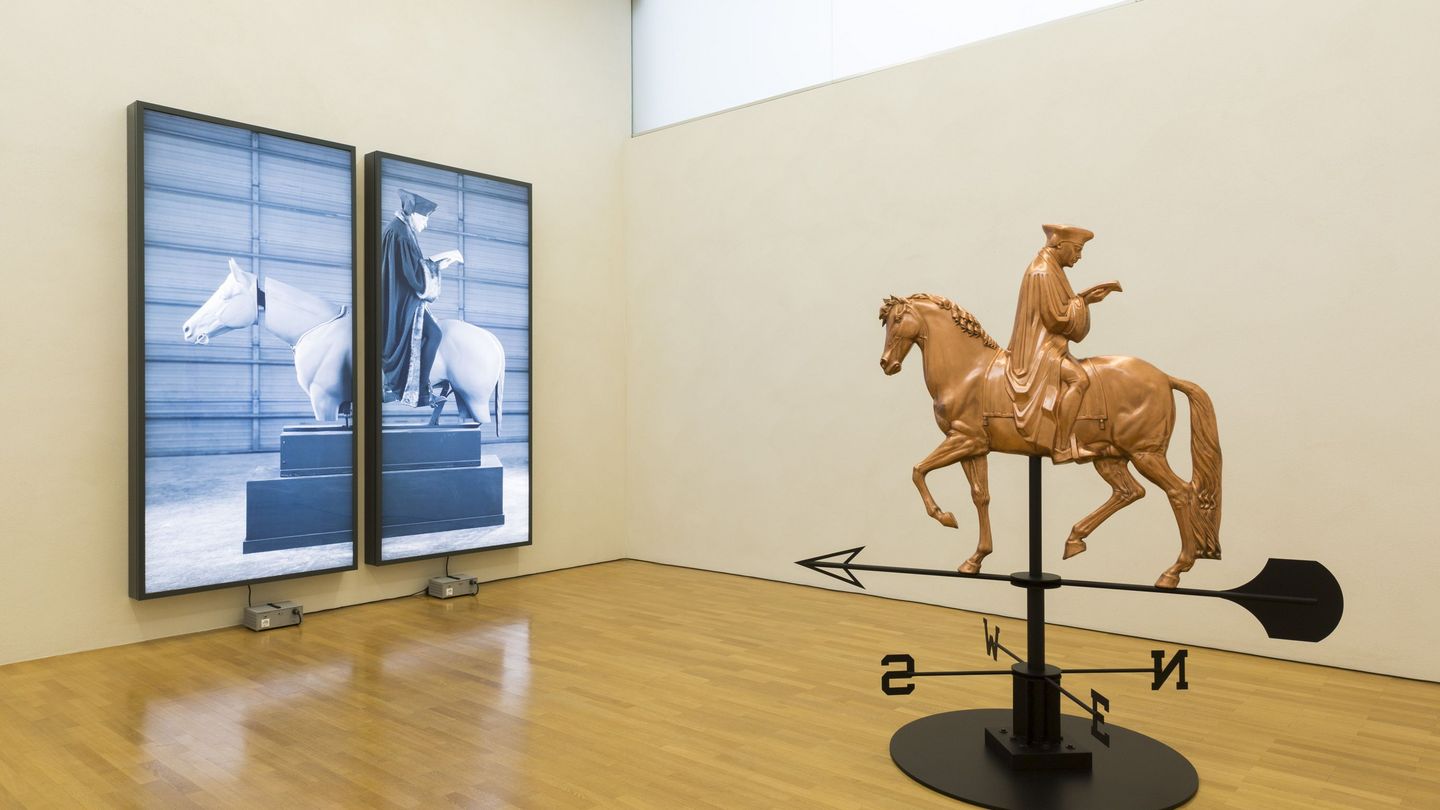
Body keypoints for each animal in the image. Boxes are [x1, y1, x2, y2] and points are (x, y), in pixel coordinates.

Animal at [875, 292, 1215, 582]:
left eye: (898, 319)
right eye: (886, 321)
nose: (886, 363)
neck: (968, 370)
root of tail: (1165, 378)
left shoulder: (962, 439)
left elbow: (918, 470)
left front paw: (945, 517)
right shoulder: (975, 447)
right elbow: (980, 496)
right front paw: (976, 558)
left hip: (1146, 454)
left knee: (1180, 493)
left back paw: (1174, 570)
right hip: (1109, 456)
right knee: (1129, 492)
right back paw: (1075, 539)